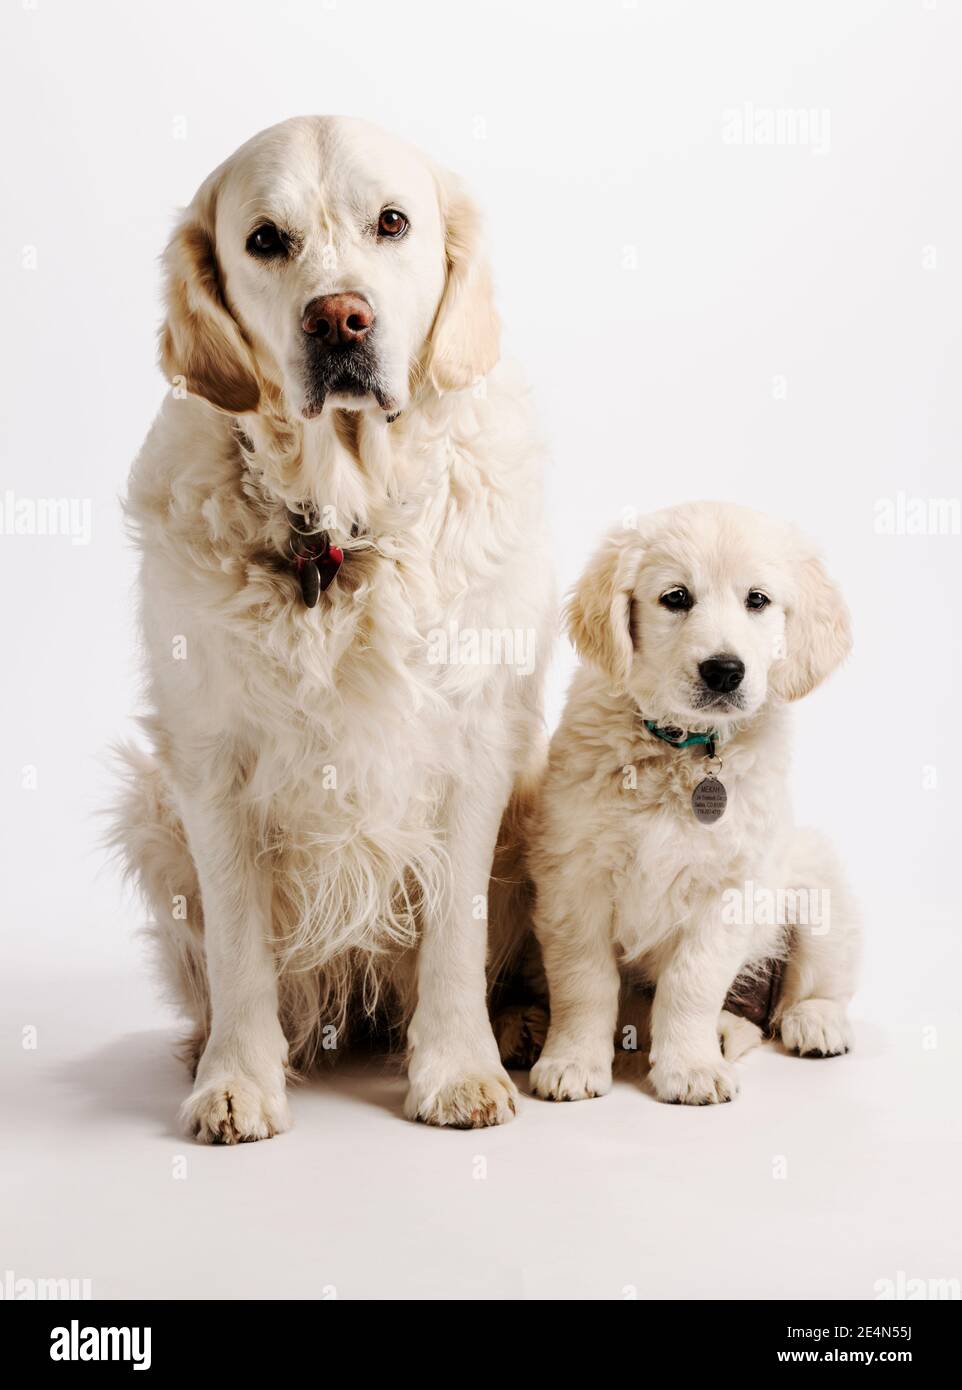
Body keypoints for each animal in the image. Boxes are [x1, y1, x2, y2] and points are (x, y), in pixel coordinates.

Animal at [112, 116, 553, 1139]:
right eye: (264, 240)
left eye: (391, 222)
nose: (340, 319)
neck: (342, 527)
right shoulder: (210, 761)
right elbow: (238, 946)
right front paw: (237, 1078)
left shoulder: (474, 744)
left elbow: (455, 933)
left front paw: (459, 1070)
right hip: (150, 807)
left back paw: (516, 1024)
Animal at [531, 505, 861, 1100]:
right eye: (676, 597)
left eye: (758, 600)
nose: (725, 671)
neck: (685, 747)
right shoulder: (574, 874)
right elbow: (583, 980)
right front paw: (572, 1061)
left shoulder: (730, 887)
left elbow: (692, 982)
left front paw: (689, 1068)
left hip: (819, 883)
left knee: (809, 987)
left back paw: (813, 1021)